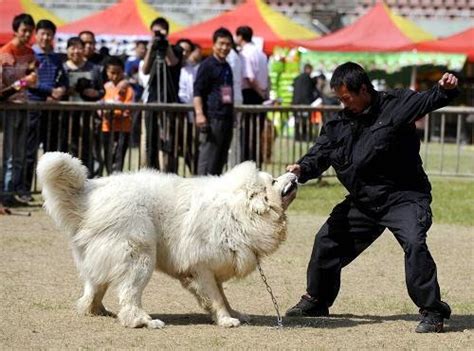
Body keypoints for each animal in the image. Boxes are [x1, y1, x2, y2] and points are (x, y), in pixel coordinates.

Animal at [37, 152, 296, 330]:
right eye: (274, 181)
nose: (295, 173)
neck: (237, 211)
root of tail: (89, 194)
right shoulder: (201, 267)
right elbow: (216, 298)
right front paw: (226, 320)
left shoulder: (212, 267)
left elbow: (222, 297)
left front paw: (235, 314)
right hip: (139, 256)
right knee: (129, 295)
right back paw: (142, 321)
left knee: (94, 288)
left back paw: (97, 310)